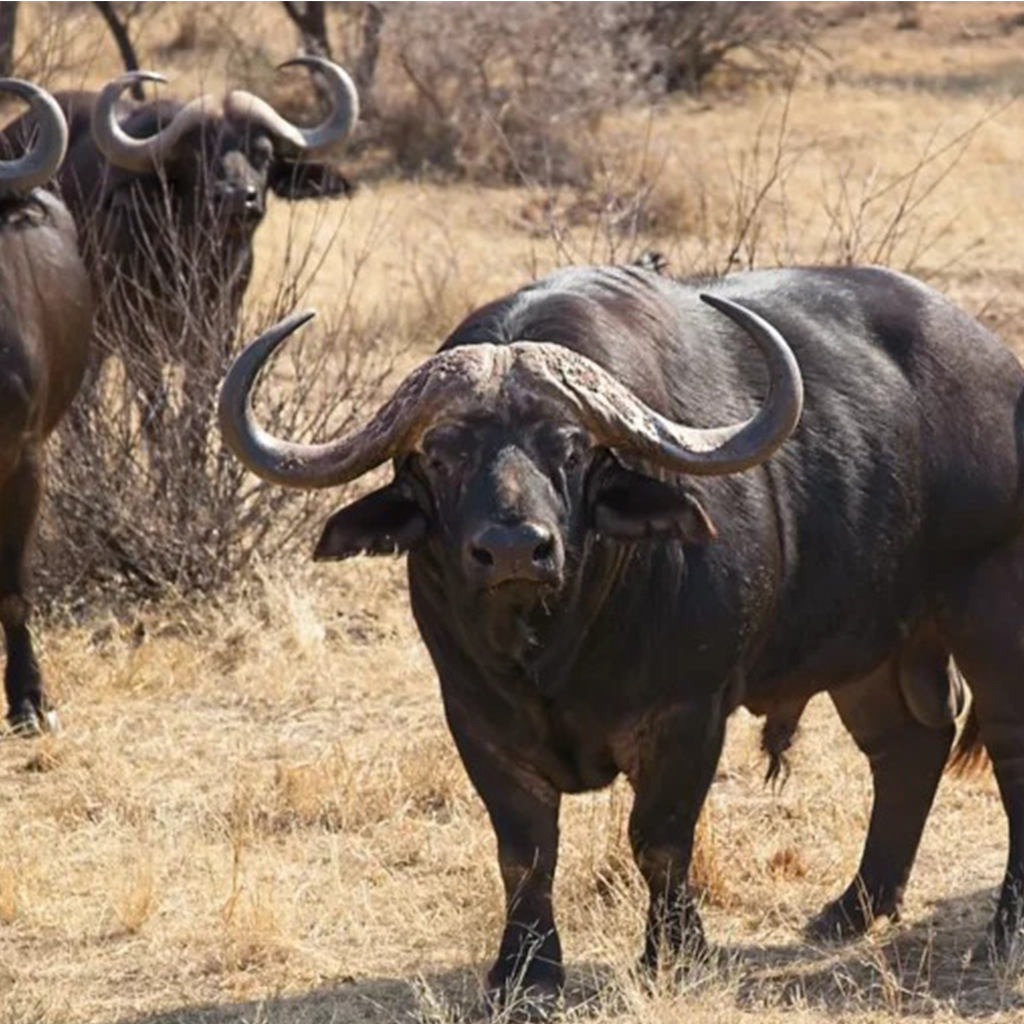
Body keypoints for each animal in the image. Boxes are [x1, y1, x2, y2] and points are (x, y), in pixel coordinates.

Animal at [219, 264, 1024, 1006]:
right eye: (440, 456)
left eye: (570, 450)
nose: (514, 550)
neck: (557, 647)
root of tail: (999, 373)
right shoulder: (475, 719)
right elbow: (524, 851)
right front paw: (525, 973)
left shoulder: (688, 713)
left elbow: (659, 839)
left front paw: (675, 954)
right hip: (869, 651)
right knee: (907, 748)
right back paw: (855, 907)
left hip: (990, 616)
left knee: (1006, 759)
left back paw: (1004, 929)